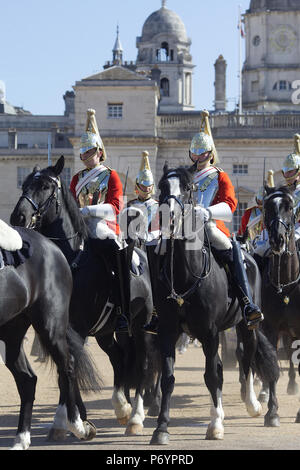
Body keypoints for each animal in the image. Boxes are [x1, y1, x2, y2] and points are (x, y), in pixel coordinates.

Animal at [0, 222, 100, 450]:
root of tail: (51, 246)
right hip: (11, 332)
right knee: (27, 380)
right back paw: (21, 439)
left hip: (50, 325)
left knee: (68, 365)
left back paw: (76, 426)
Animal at [10, 156, 158, 436]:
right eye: (23, 184)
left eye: (46, 186)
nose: (18, 217)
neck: (70, 260)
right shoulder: (61, 328)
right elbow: (67, 367)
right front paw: (73, 417)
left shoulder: (76, 327)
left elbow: (70, 366)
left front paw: (66, 417)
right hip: (106, 332)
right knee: (119, 357)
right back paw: (121, 405)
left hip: (140, 326)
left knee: (143, 364)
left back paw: (135, 416)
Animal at [151, 164, 280, 444]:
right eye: (162, 186)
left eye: (187, 187)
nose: (169, 218)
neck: (185, 274)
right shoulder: (168, 331)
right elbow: (168, 378)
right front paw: (161, 428)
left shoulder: (209, 332)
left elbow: (211, 375)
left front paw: (215, 426)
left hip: (246, 325)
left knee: (246, 358)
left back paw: (253, 404)